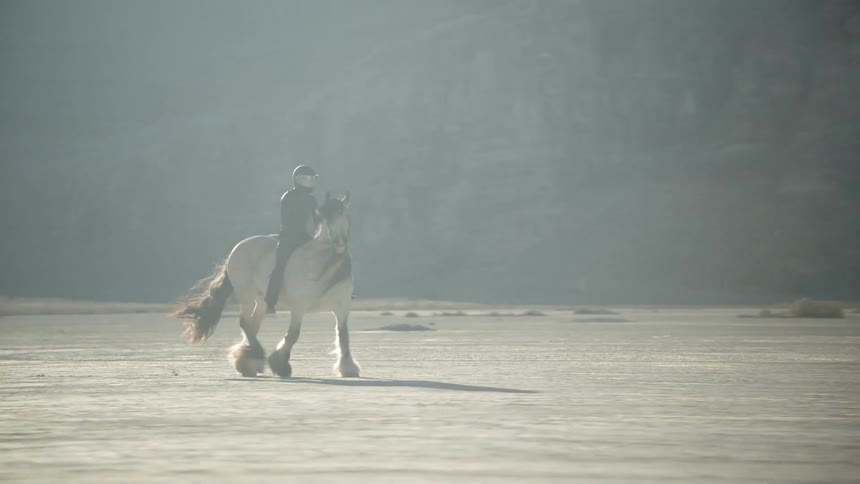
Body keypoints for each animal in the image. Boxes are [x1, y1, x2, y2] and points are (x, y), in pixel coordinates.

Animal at [173, 192, 358, 378]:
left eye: (346, 216)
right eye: (328, 218)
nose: (340, 244)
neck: (321, 263)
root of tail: (237, 248)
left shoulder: (342, 308)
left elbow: (343, 335)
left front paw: (348, 367)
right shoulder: (299, 308)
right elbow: (293, 335)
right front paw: (280, 364)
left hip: (261, 301)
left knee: (252, 326)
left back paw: (247, 360)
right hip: (245, 295)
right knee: (245, 323)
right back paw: (254, 357)